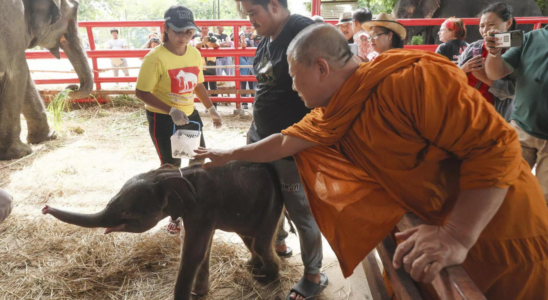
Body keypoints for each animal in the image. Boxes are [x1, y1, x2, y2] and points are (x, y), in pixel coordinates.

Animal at [0, 0, 92, 161]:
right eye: (72, 15)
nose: (72, 87)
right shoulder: (12, 23)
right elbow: (18, 73)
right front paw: (21, 152)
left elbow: (26, 77)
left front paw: (49, 136)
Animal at [41, 162, 284, 300]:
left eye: (127, 212)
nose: (44, 208)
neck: (169, 175)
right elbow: (203, 249)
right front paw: (199, 293)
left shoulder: (203, 207)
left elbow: (193, 252)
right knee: (249, 239)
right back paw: (253, 267)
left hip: (271, 205)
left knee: (260, 242)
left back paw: (267, 277)